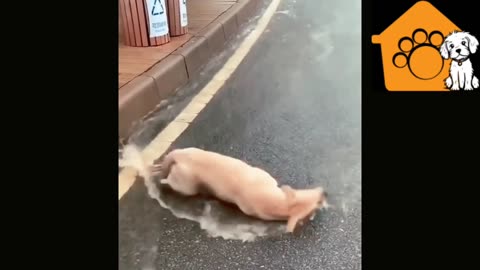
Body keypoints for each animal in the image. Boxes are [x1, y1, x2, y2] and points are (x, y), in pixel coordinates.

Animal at [152, 148, 328, 232]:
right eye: (317, 203)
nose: (325, 192)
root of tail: (179, 156)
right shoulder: (265, 179)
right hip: (186, 183)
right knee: (174, 183)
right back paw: (162, 179)